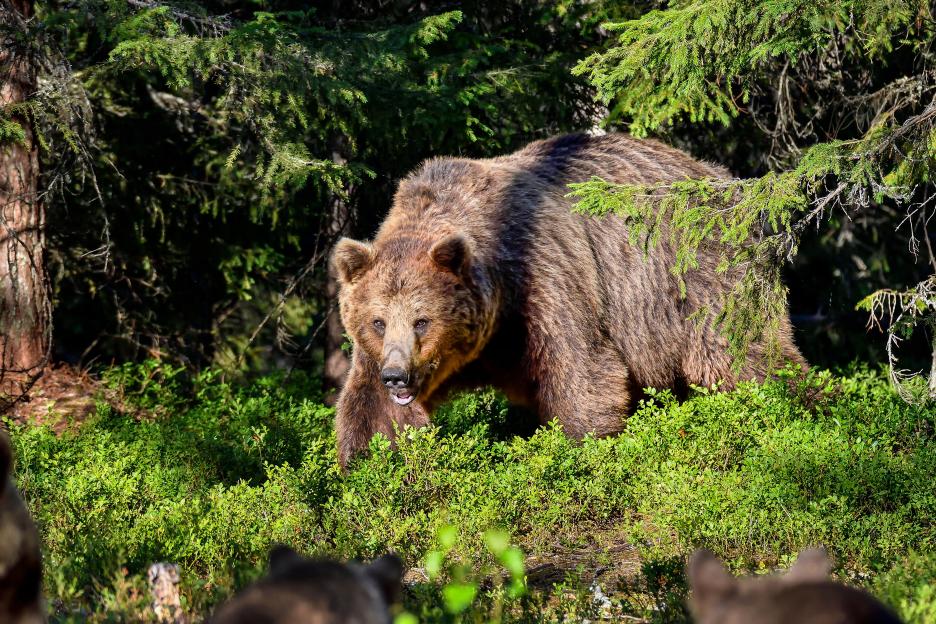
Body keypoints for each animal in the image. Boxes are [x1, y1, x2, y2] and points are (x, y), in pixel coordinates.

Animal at [331, 132, 805, 467]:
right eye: (377, 321)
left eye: (422, 320)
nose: (397, 376)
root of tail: (722, 178)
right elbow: (371, 412)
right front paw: (365, 465)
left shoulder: (545, 275)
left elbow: (583, 372)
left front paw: (582, 449)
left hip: (695, 274)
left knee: (743, 353)